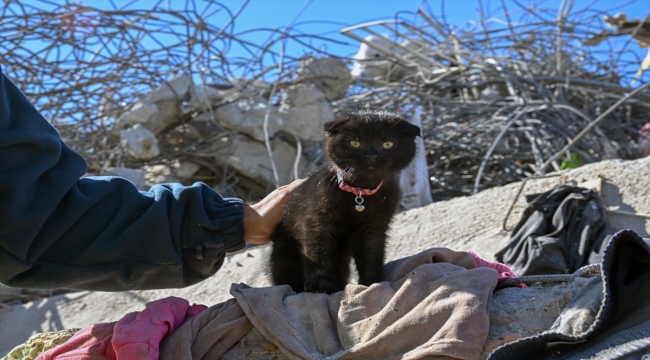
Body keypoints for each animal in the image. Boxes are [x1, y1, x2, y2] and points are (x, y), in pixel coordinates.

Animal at [266, 111, 418, 294]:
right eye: (355, 143)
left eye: (388, 144)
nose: (371, 155)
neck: (360, 193)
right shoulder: (317, 221)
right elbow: (318, 253)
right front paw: (320, 283)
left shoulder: (374, 226)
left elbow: (372, 256)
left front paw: (372, 283)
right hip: (285, 255)